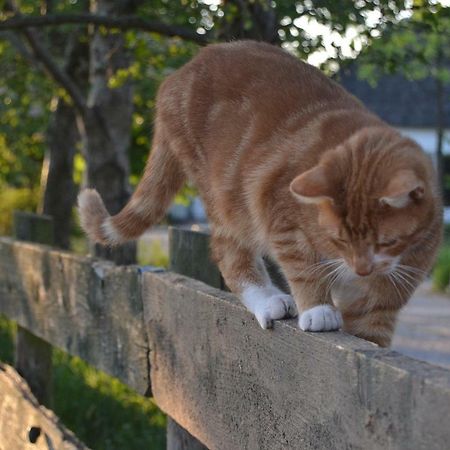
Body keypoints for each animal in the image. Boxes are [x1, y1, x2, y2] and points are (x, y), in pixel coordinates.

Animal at [77, 40, 440, 346]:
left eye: (387, 242)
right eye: (339, 239)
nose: (361, 270)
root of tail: (178, 74)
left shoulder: (396, 281)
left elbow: (373, 322)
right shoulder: (279, 211)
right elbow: (303, 266)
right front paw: (318, 309)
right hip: (225, 199)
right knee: (228, 252)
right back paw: (269, 299)